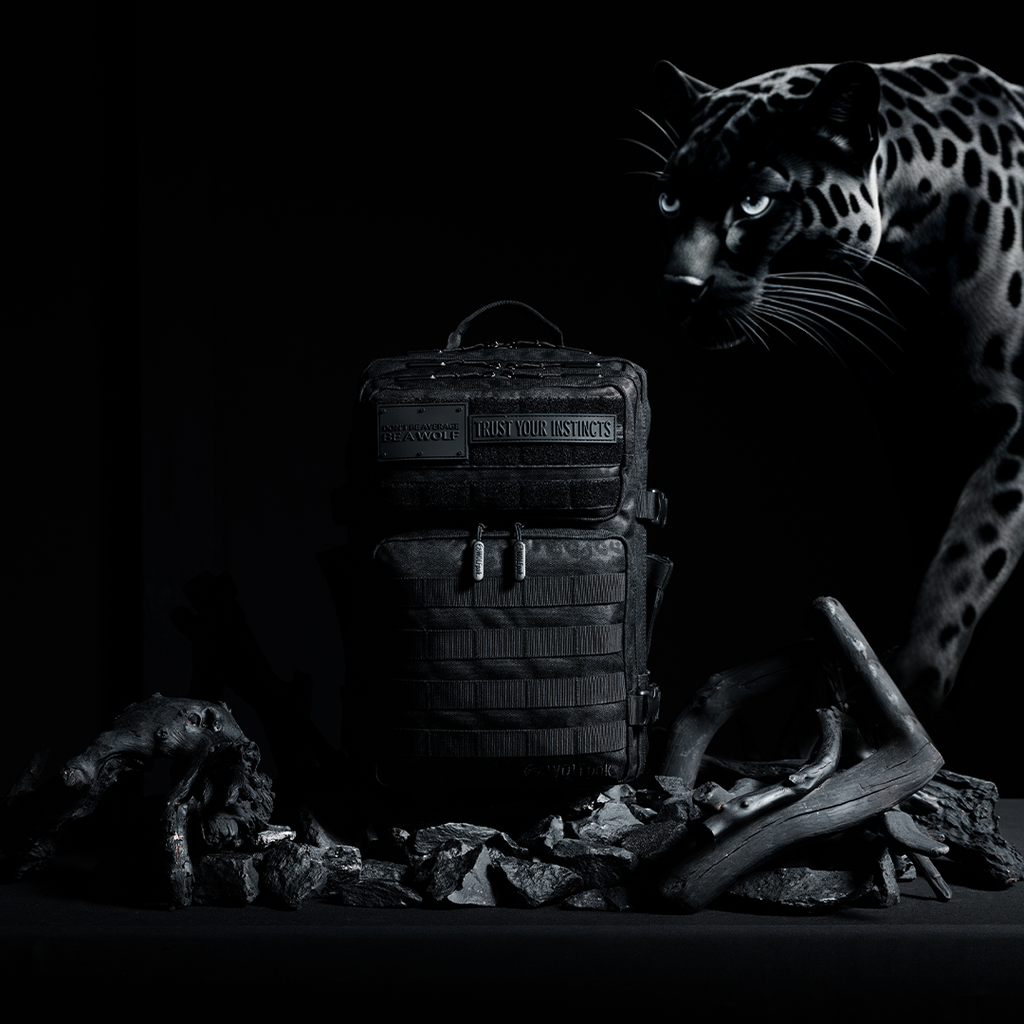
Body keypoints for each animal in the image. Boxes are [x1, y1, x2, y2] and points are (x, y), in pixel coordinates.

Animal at [639, 54, 1023, 721]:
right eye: (669, 199)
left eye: (755, 203)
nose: (679, 287)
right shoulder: (913, 432)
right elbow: (938, 543)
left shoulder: (1008, 423)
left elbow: (967, 553)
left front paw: (910, 686)